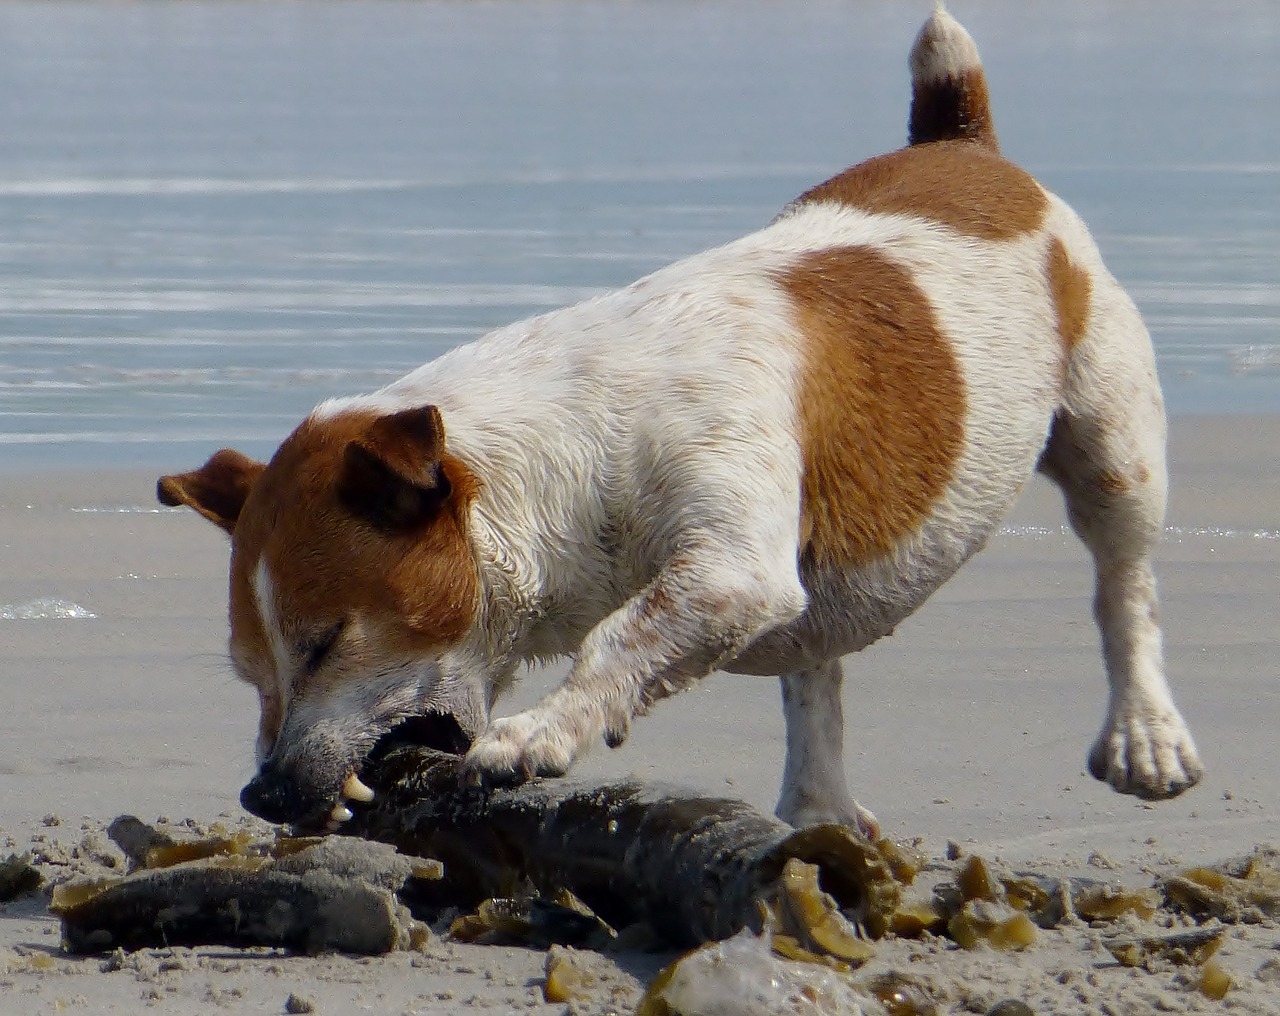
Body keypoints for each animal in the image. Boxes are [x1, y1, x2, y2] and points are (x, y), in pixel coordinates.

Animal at [157, 7, 1198, 829]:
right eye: (252, 672)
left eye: (325, 642)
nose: (262, 796)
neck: (563, 456)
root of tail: (964, 144)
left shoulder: (727, 566)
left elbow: (617, 638)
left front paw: (535, 734)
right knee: (815, 672)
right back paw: (817, 810)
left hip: (1114, 443)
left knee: (1126, 588)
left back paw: (1145, 731)